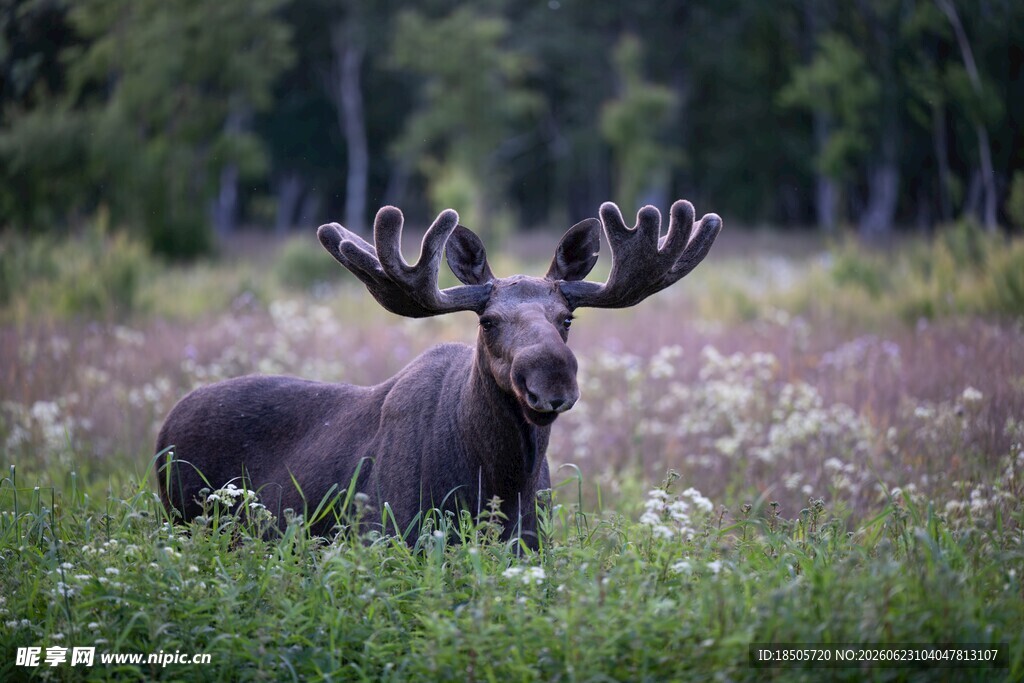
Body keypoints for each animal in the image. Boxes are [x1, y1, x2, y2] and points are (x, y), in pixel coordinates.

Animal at [156, 199, 722, 548]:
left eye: (567, 318)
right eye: (488, 320)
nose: (552, 382)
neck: (500, 482)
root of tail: (163, 430)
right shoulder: (387, 536)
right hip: (184, 519)